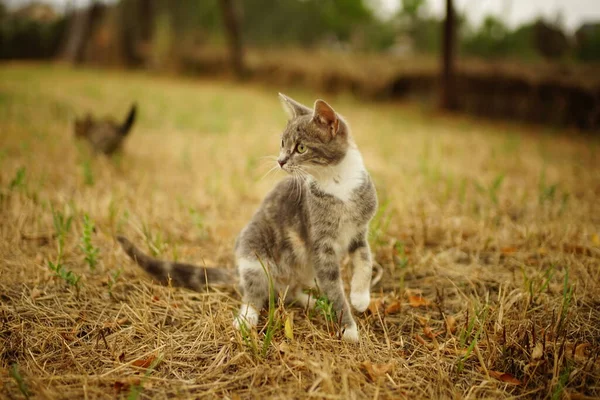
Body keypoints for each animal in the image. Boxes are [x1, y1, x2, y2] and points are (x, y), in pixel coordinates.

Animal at [116, 94, 376, 340]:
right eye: (283, 143)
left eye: (301, 148)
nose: (280, 161)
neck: (338, 184)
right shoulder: (320, 241)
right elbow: (333, 286)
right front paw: (348, 326)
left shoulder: (359, 230)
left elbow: (365, 259)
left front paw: (360, 297)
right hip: (254, 255)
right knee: (254, 293)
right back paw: (247, 318)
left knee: (290, 292)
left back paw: (311, 301)